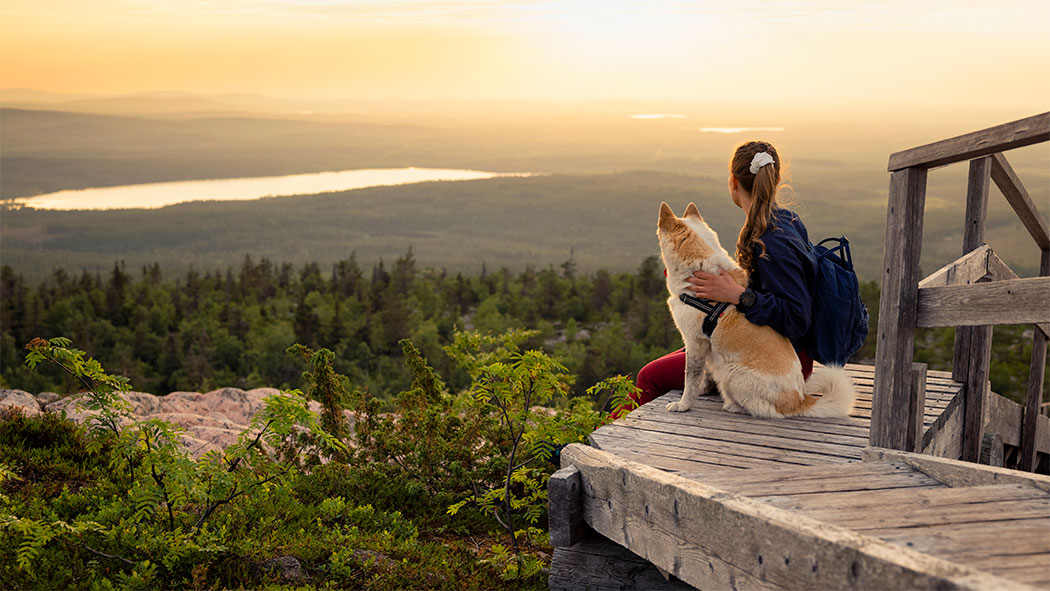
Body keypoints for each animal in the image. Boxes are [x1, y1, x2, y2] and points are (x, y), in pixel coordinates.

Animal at [659, 201, 856, 417]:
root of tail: (799, 400)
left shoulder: (695, 343)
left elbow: (690, 377)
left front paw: (683, 404)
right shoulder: (706, 347)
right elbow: (705, 373)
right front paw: (702, 389)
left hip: (732, 373)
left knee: (765, 409)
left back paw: (733, 405)